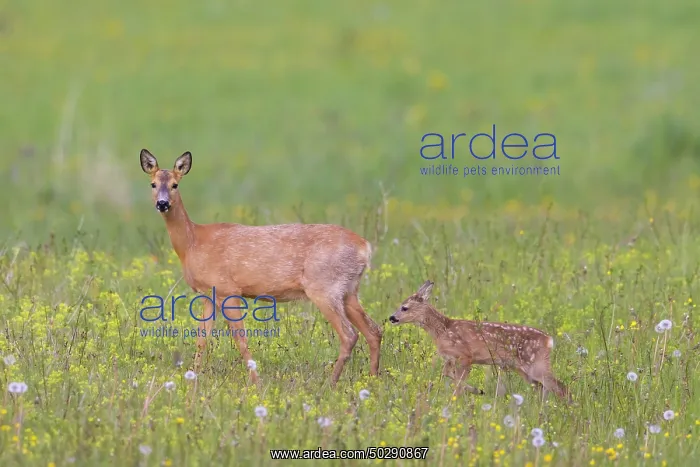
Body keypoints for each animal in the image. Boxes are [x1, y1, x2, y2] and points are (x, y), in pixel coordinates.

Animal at [139, 149, 383, 386]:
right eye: (153, 184)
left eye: (175, 184)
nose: (162, 203)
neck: (193, 243)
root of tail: (365, 247)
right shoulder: (209, 294)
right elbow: (202, 338)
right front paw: (193, 380)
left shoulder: (228, 290)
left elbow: (240, 338)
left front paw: (256, 382)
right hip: (348, 290)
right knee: (374, 330)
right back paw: (372, 379)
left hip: (325, 287)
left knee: (349, 335)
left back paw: (330, 384)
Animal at [389, 280, 570, 401]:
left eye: (404, 308)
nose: (391, 318)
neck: (443, 330)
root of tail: (549, 340)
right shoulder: (450, 358)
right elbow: (448, 374)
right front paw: (477, 390)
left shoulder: (466, 355)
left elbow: (458, 381)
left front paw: (455, 401)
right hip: (524, 369)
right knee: (543, 388)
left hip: (536, 365)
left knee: (561, 388)